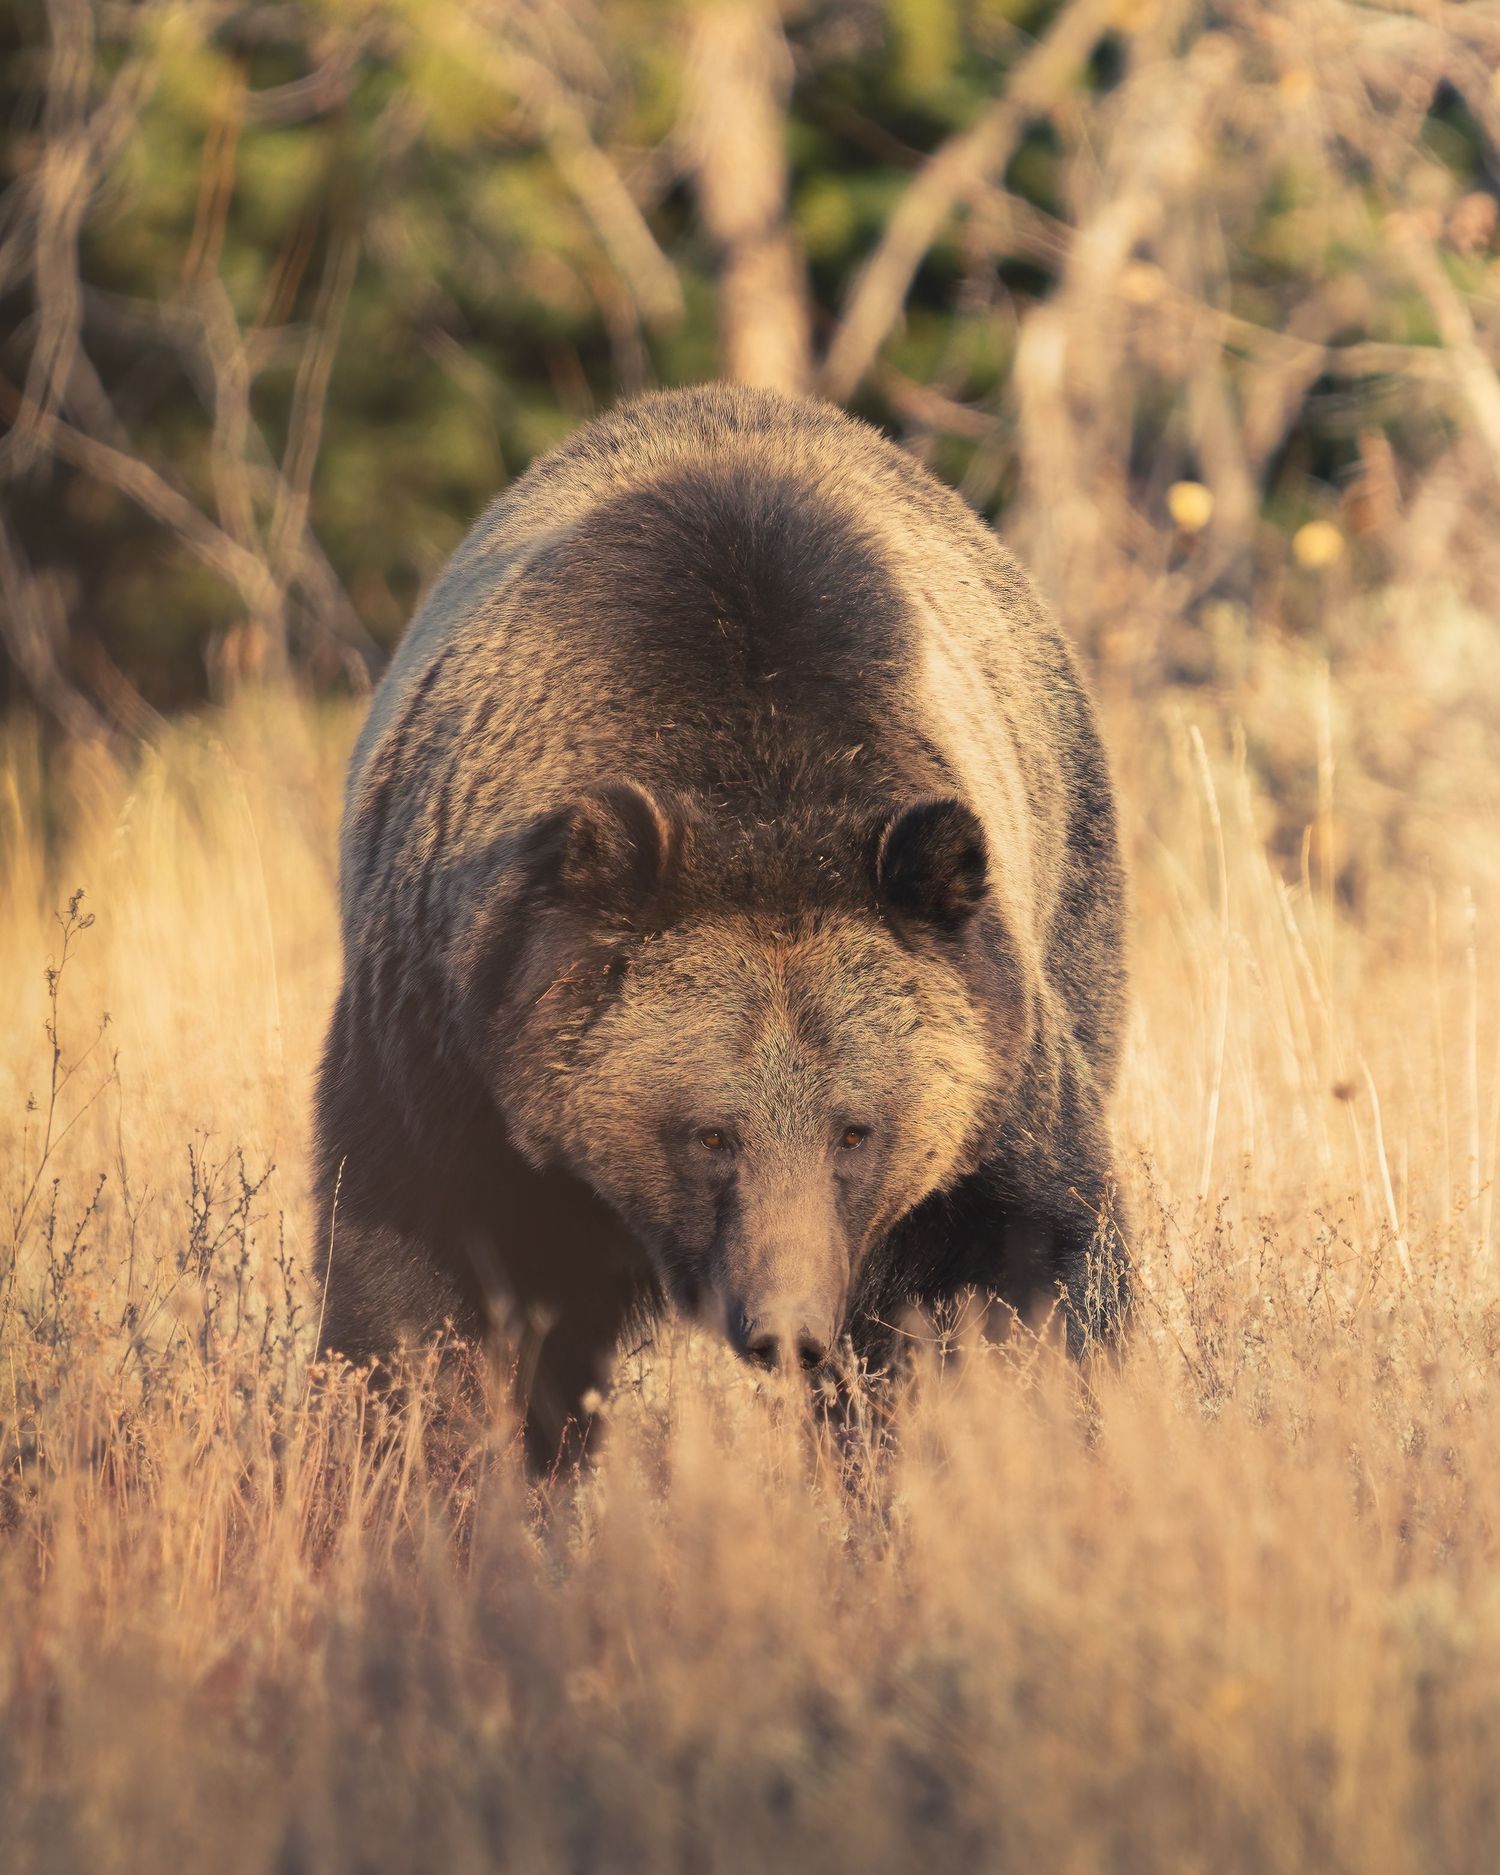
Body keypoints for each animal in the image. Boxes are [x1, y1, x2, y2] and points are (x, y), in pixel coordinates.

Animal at [313, 383, 1129, 1466]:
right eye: (710, 1132)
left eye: (856, 1128)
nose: (785, 1329)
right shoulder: (449, 1044)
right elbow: (410, 1287)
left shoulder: (993, 1066)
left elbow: (1026, 1261)